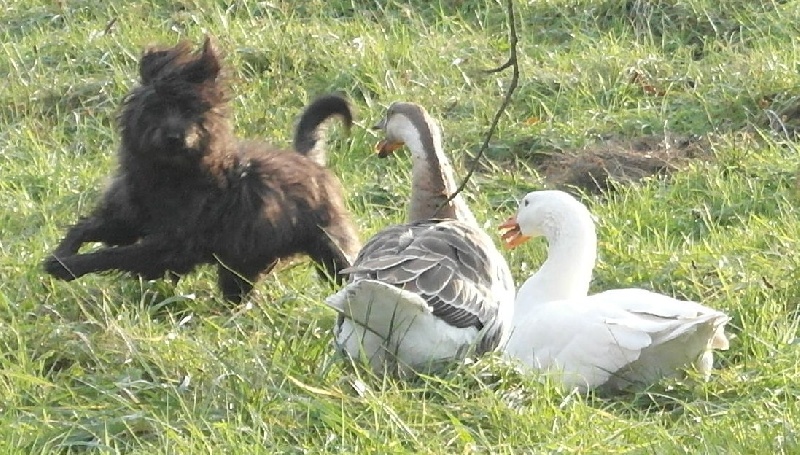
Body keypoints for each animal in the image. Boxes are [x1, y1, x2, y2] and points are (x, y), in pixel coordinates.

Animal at [40, 38, 360, 302]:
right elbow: (89, 228)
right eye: (156, 108)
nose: (175, 136)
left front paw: (72, 264)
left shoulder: (171, 244)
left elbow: (117, 253)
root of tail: (310, 162)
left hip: (330, 244)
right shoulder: (128, 216)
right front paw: (62, 252)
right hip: (238, 264)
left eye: (192, 110)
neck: (169, 174)